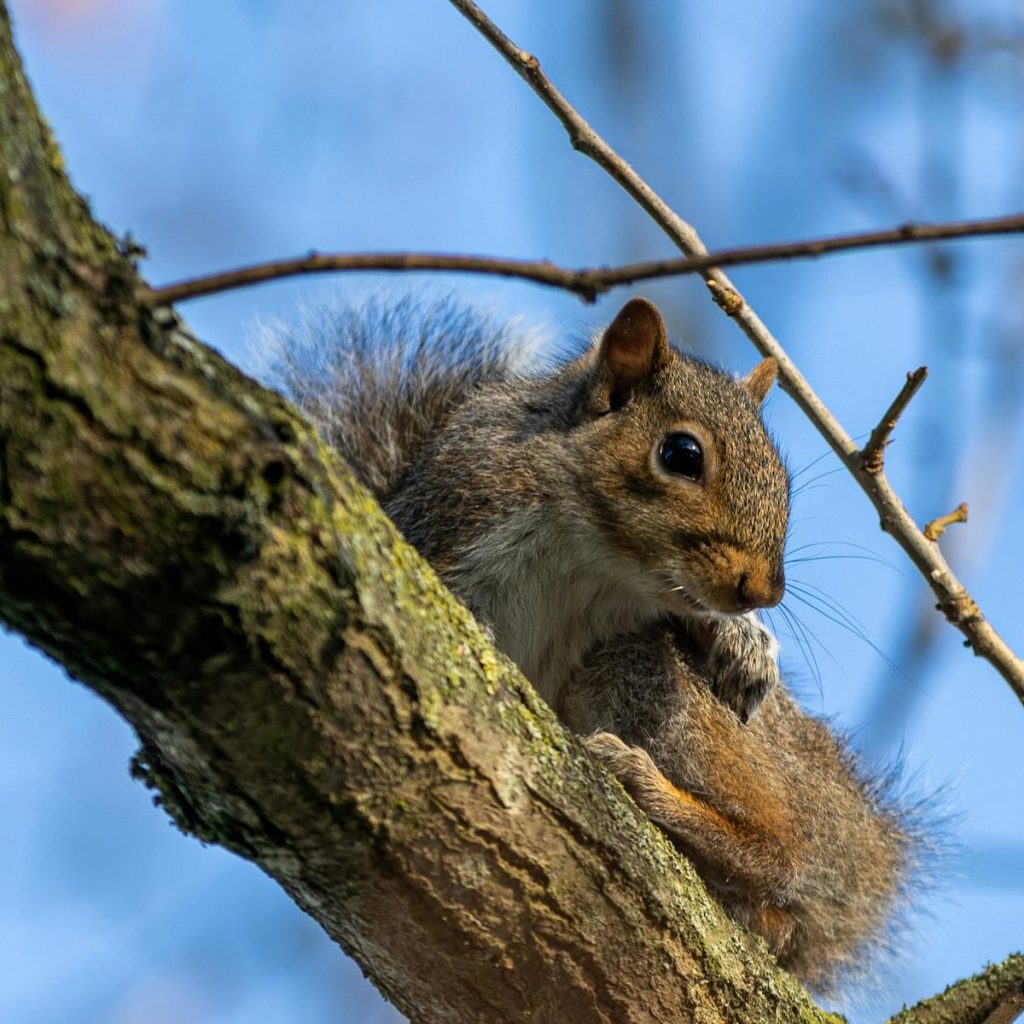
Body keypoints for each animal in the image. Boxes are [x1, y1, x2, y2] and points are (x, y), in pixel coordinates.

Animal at [269, 293, 921, 993]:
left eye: (783, 477)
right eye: (683, 454)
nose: (764, 591)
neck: (597, 558)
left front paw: (746, 641)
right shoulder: (455, 512)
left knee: (786, 852)